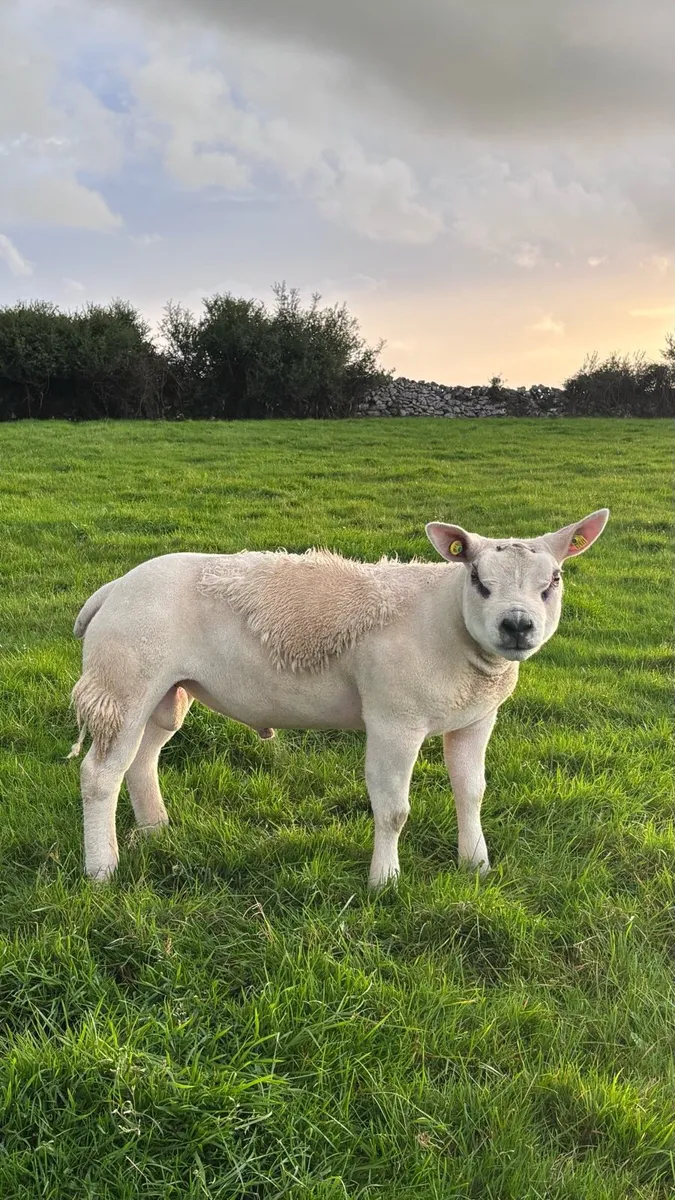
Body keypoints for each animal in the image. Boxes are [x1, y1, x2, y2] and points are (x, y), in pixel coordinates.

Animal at [70, 509, 609, 885]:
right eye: (478, 579)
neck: (446, 622)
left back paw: (154, 829)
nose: (517, 625)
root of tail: (115, 587)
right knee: (100, 775)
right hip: (123, 681)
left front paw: (475, 864)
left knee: (140, 761)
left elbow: (471, 791)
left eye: (554, 580)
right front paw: (384, 882)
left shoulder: (476, 719)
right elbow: (393, 809)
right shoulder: (394, 720)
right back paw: (101, 868)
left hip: (165, 692)